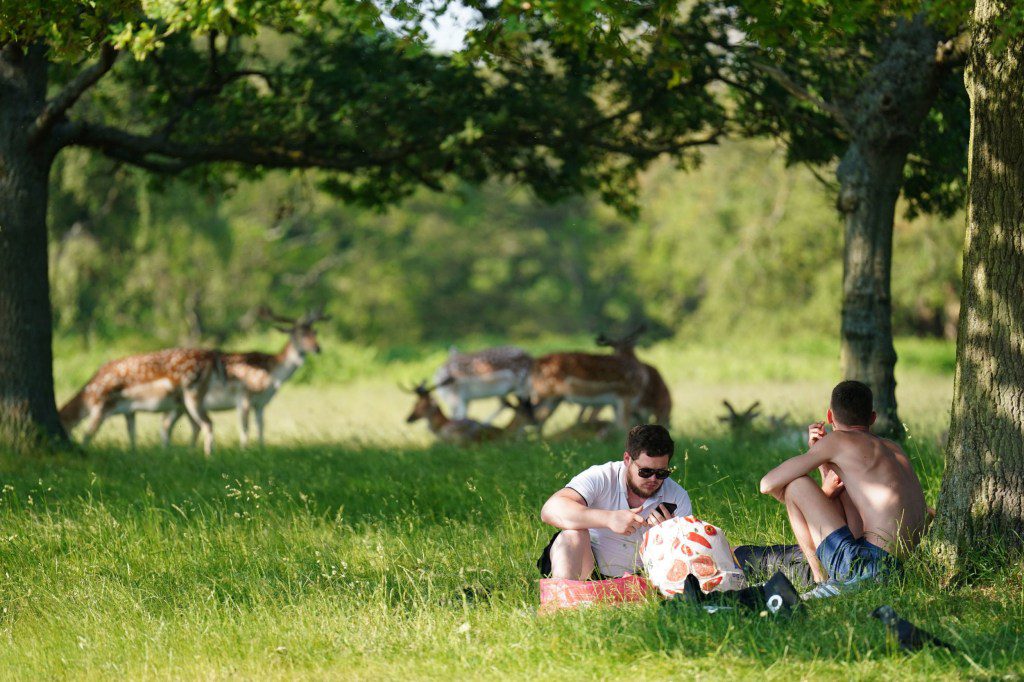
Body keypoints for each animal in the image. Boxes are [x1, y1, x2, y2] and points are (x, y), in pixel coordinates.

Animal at [58, 348, 221, 454]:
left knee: (207, 423)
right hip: (184, 403)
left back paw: (208, 455)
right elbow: (132, 433)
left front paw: (82, 449)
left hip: (193, 394)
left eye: (64, 426)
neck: (88, 398)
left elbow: (88, 433)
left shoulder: (102, 407)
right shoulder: (128, 411)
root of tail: (211, 359)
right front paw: (133, 452)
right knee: (195, 425)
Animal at [162, 307, 327, 446]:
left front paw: (261, 449)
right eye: (301, 334)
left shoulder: (261, 403)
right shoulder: (245, 396)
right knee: (167, 425)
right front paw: (244, 450)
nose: (317, 348)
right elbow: (245, 427)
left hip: (181, 406)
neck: (272, 375)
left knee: (169, 425)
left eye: (314, 333)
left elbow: (261, 426)